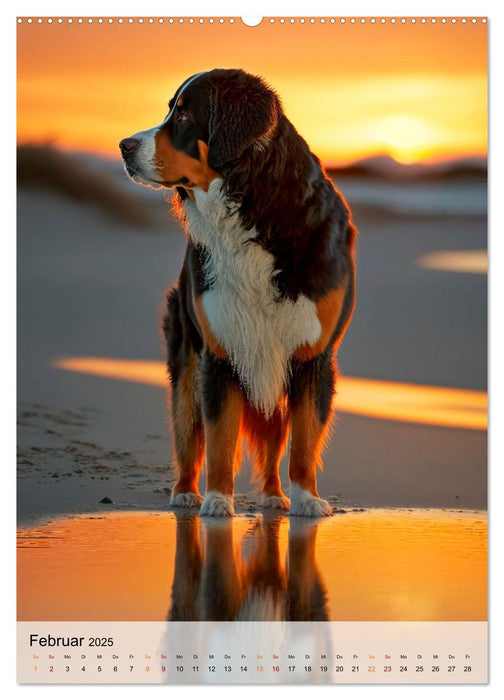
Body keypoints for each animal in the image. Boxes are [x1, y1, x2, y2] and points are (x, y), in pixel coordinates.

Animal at [119, 68, 356, 516]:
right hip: (187, 367)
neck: (252, 211)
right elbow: (219, 440)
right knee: (187, 436)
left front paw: (307, 499)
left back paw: (274, 497)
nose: (124, 146)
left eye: (182, 115)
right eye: (169, 110)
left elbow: (303, 442)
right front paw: (217, 500)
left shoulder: (311, 356)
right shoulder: (220, 354)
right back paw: (186, 493)